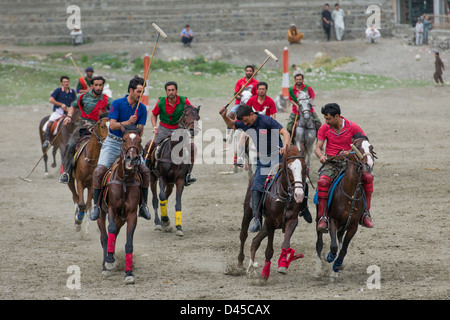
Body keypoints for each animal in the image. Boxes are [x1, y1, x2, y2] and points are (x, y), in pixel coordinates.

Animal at [96, 126, 144, 284]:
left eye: (140, 141)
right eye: (123, 139)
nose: (132, 158)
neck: (125, 180)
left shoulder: (131, 215)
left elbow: (129, 243)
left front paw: (129, 273)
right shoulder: (112, 209)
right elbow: (109, 230)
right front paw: (110, 261)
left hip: (120, 219)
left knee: (114, 234)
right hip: (101, 212)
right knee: (104, 237)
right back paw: (106, 264)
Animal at [147, 104, 200, 235]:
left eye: (198, 117)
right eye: (186, 115)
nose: (193, 130)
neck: (174, 152)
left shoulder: (180, 180)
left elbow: (178, 202)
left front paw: (178, 227)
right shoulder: (162, 177)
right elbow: (161, 197)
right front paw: (165, 220)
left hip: (170, 183)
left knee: (166, 196)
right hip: (152, 178)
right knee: (155, 200)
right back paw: (158, 222)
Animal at [236, 145, 310, 280]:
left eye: (304, 166)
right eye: (289, 168)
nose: (299, 195)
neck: (283, 196)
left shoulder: (292, 221)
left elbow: (285, 244)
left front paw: (283, 265)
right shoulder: (271, 221)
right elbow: (269, 250)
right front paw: (265, 275)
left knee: (255, 241)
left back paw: (251, 268)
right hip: (248, 212)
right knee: (243, 235)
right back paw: (239, 265)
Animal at [312, 135, 376, 280]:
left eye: (371, 147)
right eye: (357, 147)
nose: (369, 164)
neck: (350, 193)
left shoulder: (353, 225)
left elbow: (344, 248)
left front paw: (336, 266)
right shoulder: (333, 220)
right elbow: (334, 246)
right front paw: (330, 257)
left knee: (340, 238)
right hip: (319, 217)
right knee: (319, 243)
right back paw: (318, 270)